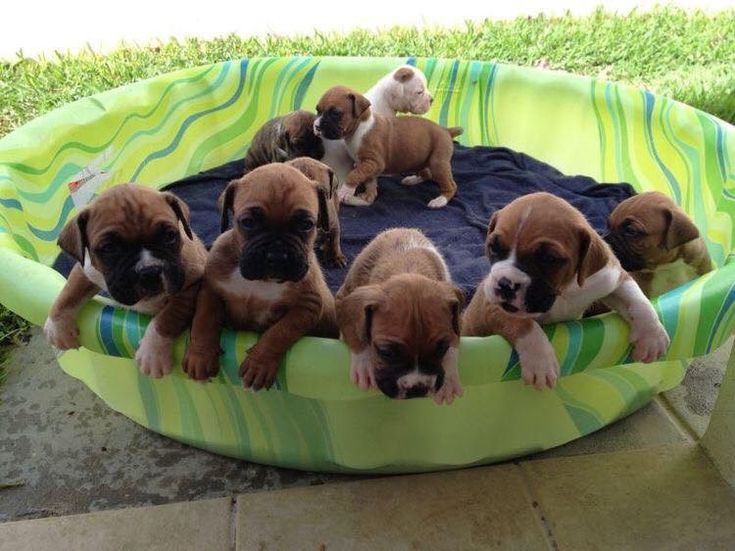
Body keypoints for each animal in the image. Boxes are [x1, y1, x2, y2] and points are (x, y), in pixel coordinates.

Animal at [43, 185, 207, 380]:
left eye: (169, 236)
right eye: (109, 248)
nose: (149, 271)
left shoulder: (191, 284)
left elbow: (168, 316)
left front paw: (152, 352)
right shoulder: (85, 269)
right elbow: (70, 291)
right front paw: (57, 326)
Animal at [183, 163, 338, 388]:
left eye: (306, 224)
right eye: (248, 222)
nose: (277, 254)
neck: (261, 282)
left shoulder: (307, 306)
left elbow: (280, 332)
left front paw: (260, 363)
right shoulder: (211, 290)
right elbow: (204, 320)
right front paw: (200, 355)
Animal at [314, 86, 462, 209]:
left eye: (336, 113)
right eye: (318, 111)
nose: (316, 126)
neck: (360, 127)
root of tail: (446, 130)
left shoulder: (374, 162)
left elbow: (354, 174)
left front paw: (346, 190)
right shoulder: (367, 166)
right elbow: (369, 184)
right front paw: (365, 197)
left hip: (438, 163)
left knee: (451, 185)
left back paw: (440, 200)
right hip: (421, 160)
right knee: (427, 173)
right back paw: (413, 179)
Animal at [336, 226, 462, 404]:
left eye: (442, 348)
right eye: (386, 352)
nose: (417, 389)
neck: (406, 266)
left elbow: (455, 338)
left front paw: (449, 380)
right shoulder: (342, 298)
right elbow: (355, 330)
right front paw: (364, 363)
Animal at [466, 192, 672, 390]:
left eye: (549, 259)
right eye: (493, 247)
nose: (505, 284)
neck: (563, 291)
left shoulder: (612, 277)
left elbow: (637, 300)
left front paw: (652, 335)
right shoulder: (492, 306)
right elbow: (525, 325)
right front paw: (540, 362)